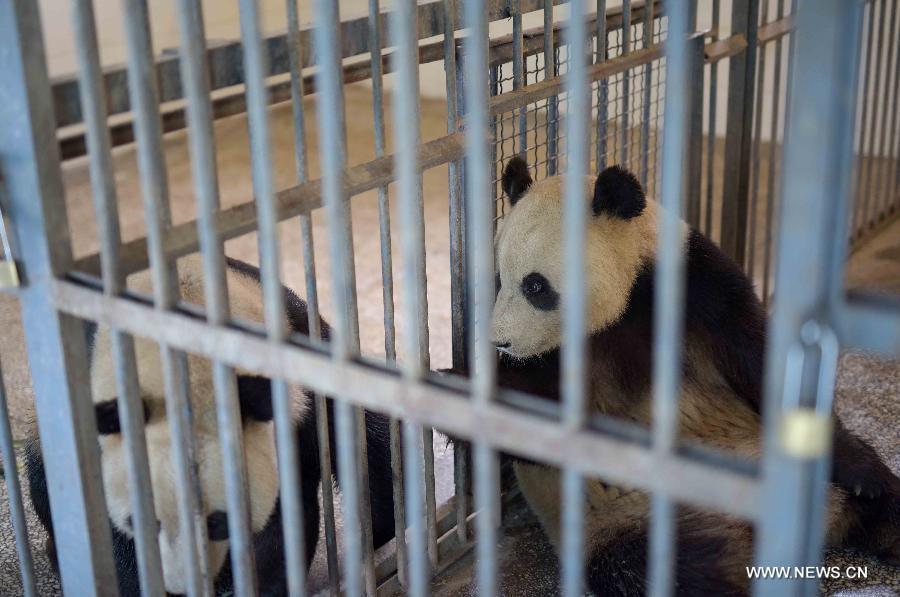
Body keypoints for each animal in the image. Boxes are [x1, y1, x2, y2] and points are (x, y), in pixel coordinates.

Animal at [478, 158, 900, 596]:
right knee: (656, 568)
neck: (618, 311)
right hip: (630, 518)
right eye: (498, 280)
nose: (500, 342)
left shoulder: (695, 284)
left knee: (883, 501)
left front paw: (861, 473)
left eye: (535, 286)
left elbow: (759, 361)